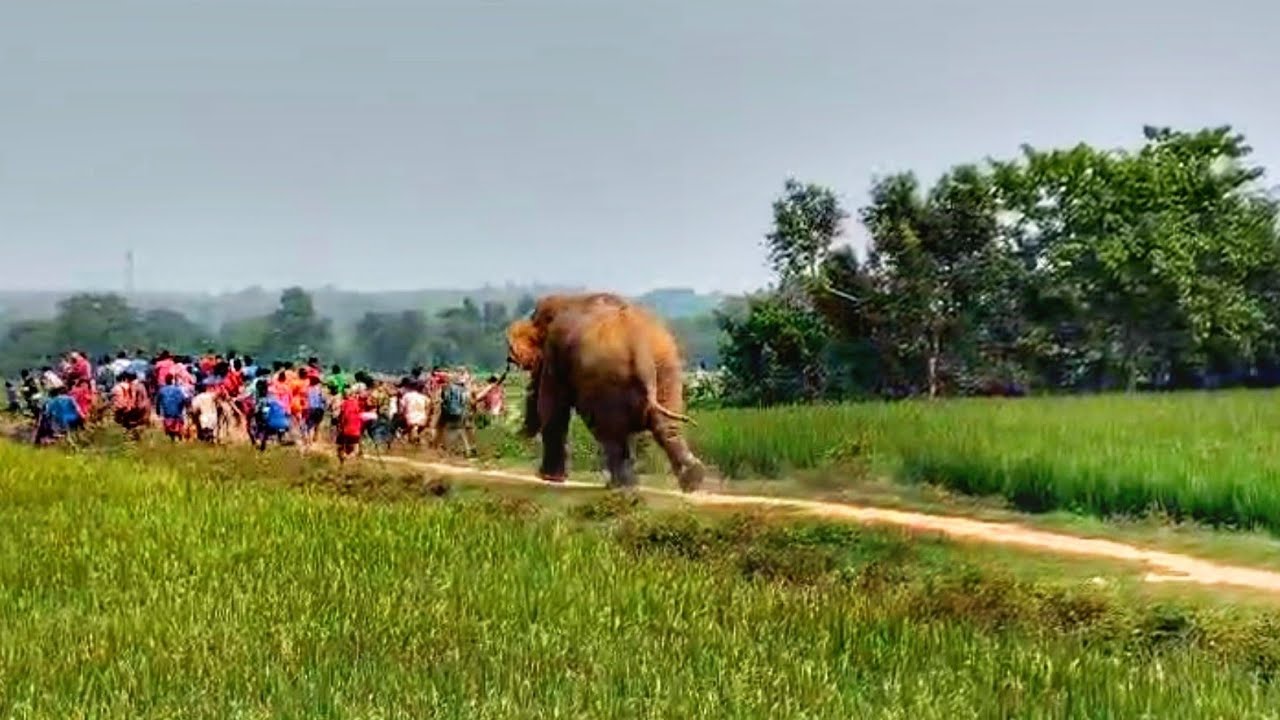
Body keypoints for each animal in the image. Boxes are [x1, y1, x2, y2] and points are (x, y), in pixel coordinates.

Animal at [506, 292, 706, 492]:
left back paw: (621, 486)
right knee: (665, 427)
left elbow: (552, 409)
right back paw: (691, 479)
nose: (516, 436)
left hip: (608, 379)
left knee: (609, 433)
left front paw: (548, 478)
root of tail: (640, 349)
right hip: (666, 369)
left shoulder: (554, 353)